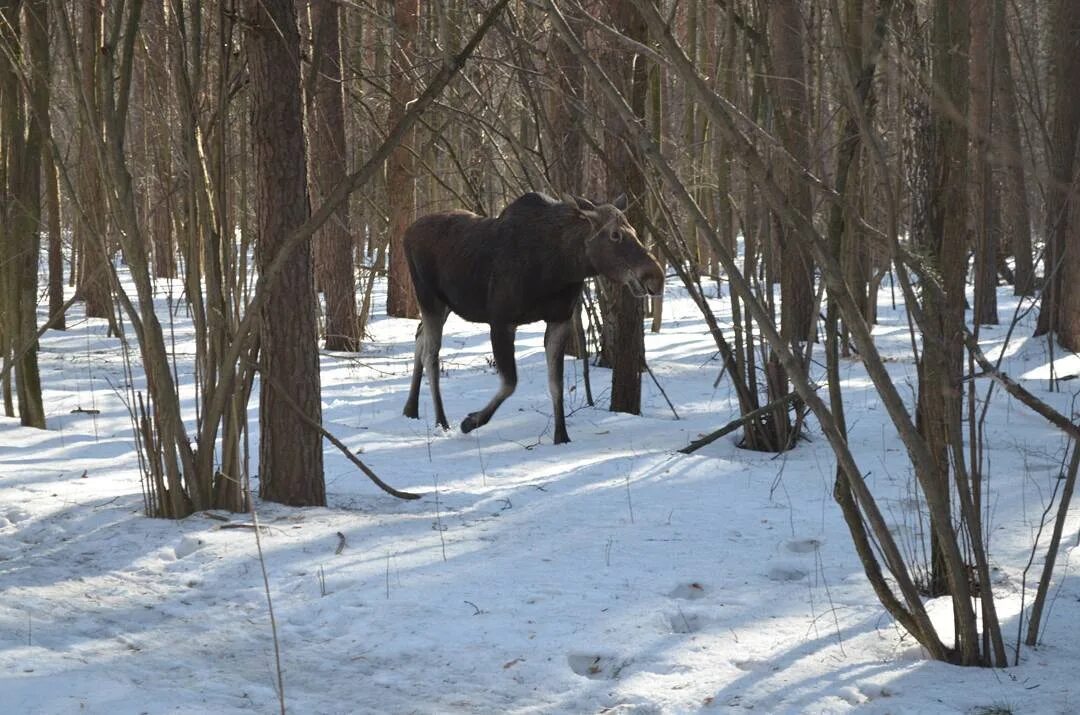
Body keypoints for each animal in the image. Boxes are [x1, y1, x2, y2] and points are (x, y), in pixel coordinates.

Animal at [401, 193, 660, 444]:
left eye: (634, 231)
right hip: (429, 297)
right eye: (615, 234)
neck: (563, 267)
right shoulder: (501, 320)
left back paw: (411, 408)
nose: (655, 275)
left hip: (446, 304)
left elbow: (556, 384)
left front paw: (561, 436)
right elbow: (510, 383)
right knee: (431, 354)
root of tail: (407, 232)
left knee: (419, 336)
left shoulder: (560, 319)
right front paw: (471, 421)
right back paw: (442, 421)